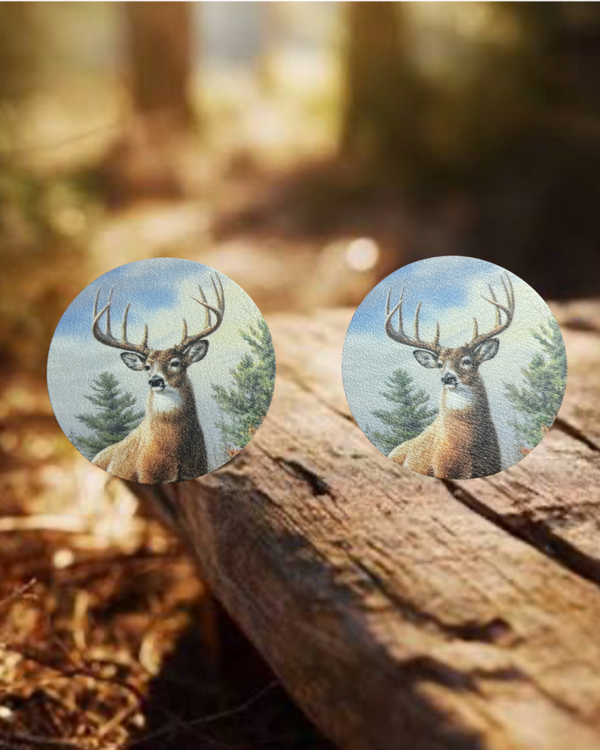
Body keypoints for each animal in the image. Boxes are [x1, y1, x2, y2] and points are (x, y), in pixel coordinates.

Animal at [89, 275, 225, 484]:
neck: (174, 452)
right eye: (147, 367)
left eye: (176, 362)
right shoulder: (146, 475)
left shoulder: (198, 468)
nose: (155, 381)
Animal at [384, 273, 515, 479]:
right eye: (439, 364)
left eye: (467, 361)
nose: (447, 378)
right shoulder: (442, 469)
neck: (467, 446)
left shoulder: (493, 464)